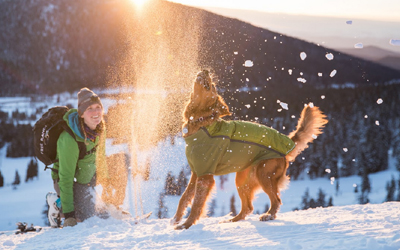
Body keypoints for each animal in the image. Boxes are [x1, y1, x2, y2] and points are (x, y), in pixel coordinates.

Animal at [172, 69, 328, 229]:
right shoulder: (196, 172)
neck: (200, 123)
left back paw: (268, 215)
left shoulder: (205, 176)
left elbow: (196, 204)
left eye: (213, 86)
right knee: (248, 208)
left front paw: (185, 225)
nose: (206, 70)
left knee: (275, 200)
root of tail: (287, 143)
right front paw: (175, 220)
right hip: (242, 178)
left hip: (263, 173)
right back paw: (231, 220)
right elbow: (184, 198)